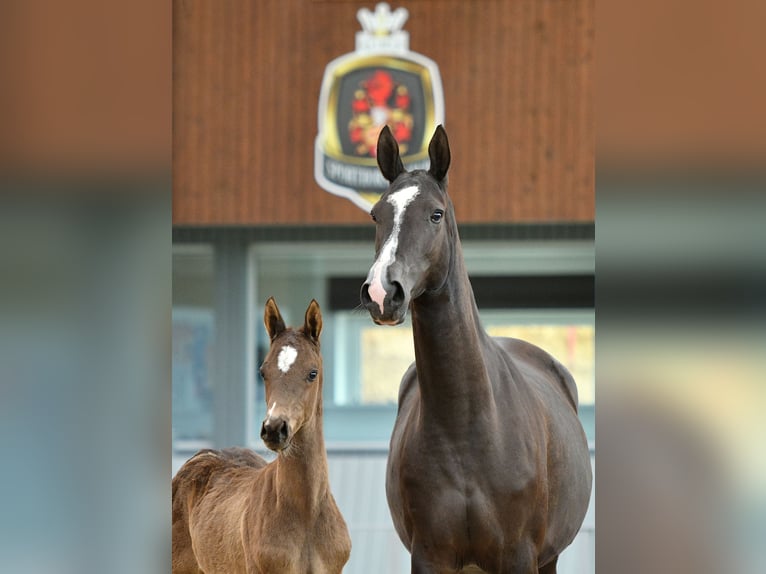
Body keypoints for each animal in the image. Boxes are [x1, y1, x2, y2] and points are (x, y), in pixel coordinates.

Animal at [360, 125, 592, 573]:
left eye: (435, 214)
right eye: (377, 215)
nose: (381, 293)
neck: (467, 425)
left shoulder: (519, 557)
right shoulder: (429, 556)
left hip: (549, 558)